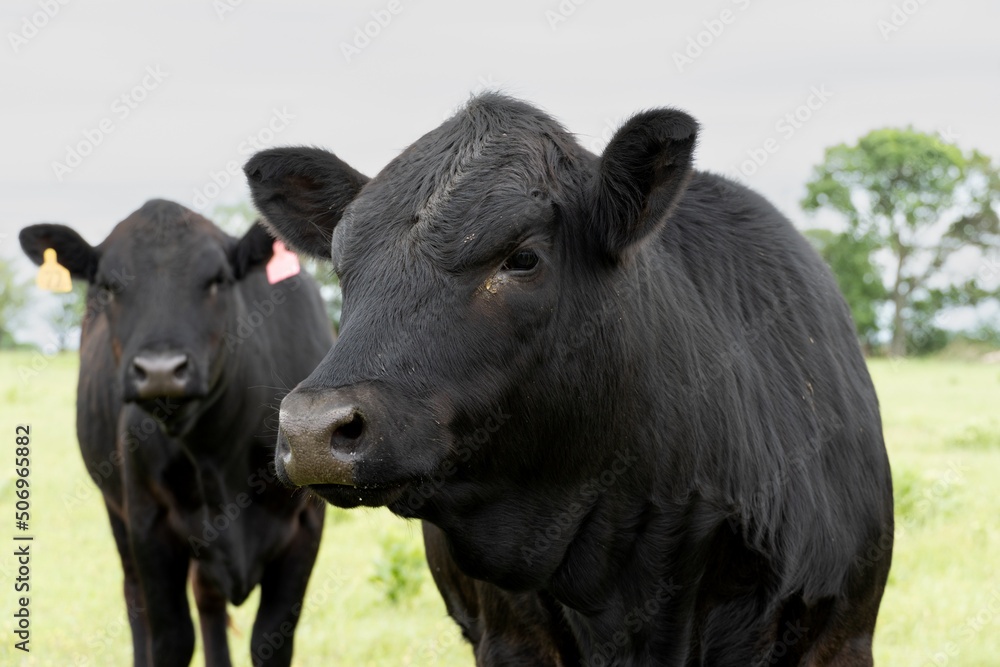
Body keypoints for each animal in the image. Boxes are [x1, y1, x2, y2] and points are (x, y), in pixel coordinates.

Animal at [19, 200, 332, 667]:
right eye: (109, 285)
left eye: (218, 279)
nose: (161, 370)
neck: (217, 452)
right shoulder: (148, 522)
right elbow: (171, 638)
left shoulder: (305, 525)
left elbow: (270, 640)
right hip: (117, 512)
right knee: (137, 603)